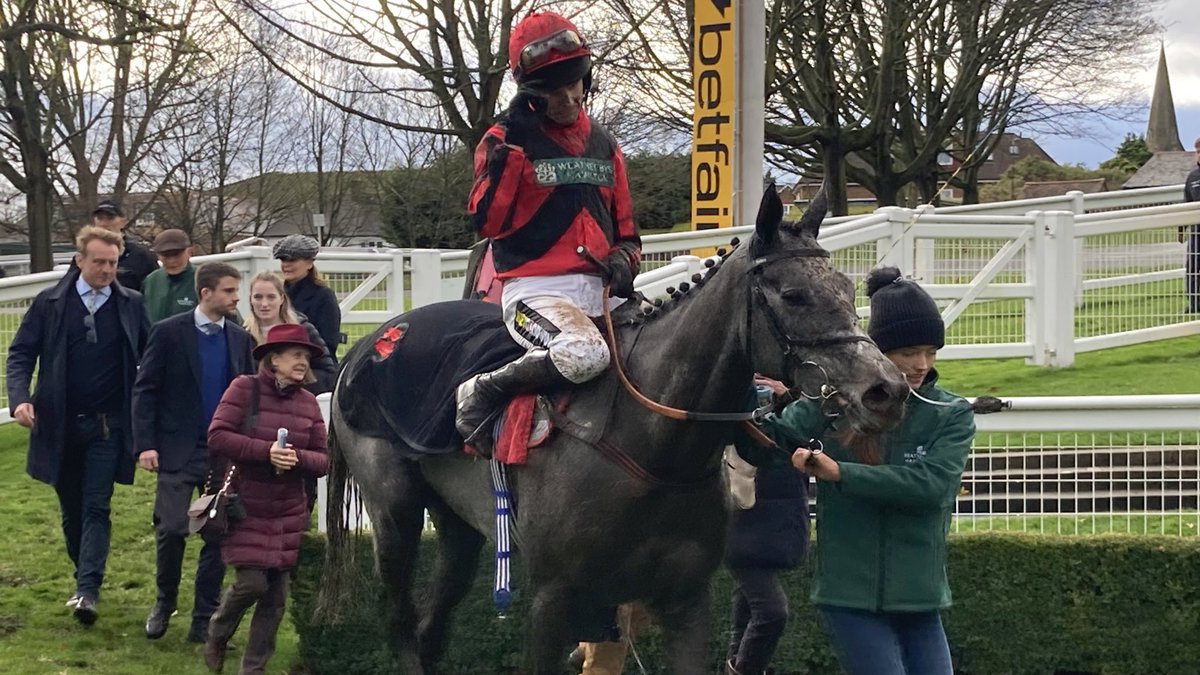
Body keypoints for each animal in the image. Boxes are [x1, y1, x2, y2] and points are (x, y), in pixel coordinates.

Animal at [324, 184, 902, 672]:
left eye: (846, 287)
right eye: (793, 295)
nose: (886, 389)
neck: (652, 444)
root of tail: (368, 343)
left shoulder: (685, 600)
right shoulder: (552, 600)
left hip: (458, 530)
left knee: (430, 626)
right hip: (395, 518)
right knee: (401, 624)